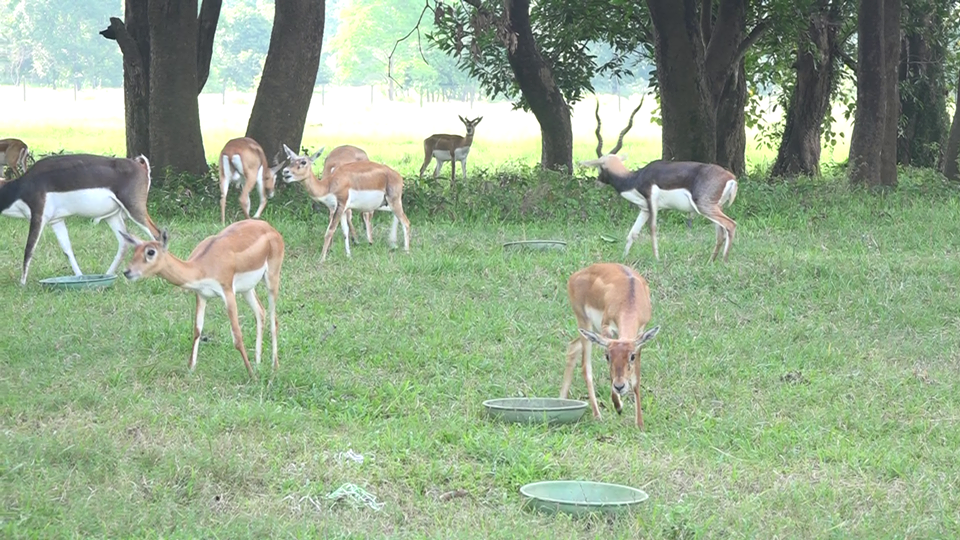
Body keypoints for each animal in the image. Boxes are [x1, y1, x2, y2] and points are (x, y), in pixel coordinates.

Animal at [0, 152, 161, 284]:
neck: (19, 188)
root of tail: (142, 167)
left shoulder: (38, 216)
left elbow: (29, 250)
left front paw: (22, 284)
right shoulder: (56, 221)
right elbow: (67, 249)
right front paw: (80, 277)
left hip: (135, 209)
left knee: (157, 234)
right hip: (113, 216)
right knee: (124, 243)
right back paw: (107, 275)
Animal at [564, 264, 660, 428]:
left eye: (632, 356)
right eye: (607, 356)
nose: (619, 386)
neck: (628, 299)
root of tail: (574, 276)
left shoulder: (640, 337)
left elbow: (636, 381)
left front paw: (640, 423)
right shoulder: (607, 329)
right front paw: (619, 406)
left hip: (591, 331)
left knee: (572, 347)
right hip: (584, 322)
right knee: (585, 367)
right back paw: (597, 415)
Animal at [576, 101, 744, 264]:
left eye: (599, 167)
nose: (597, 183)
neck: (635, 179)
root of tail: (730, 177)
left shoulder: (652, 202)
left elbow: (653, 229)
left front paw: (656, 259)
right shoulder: (644, 209)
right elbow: (633, 233)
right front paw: (623, 259)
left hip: (705, 206)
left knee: (730, 225)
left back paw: (724, 262)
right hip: (715, 207)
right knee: (720, 233)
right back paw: (711, 262)